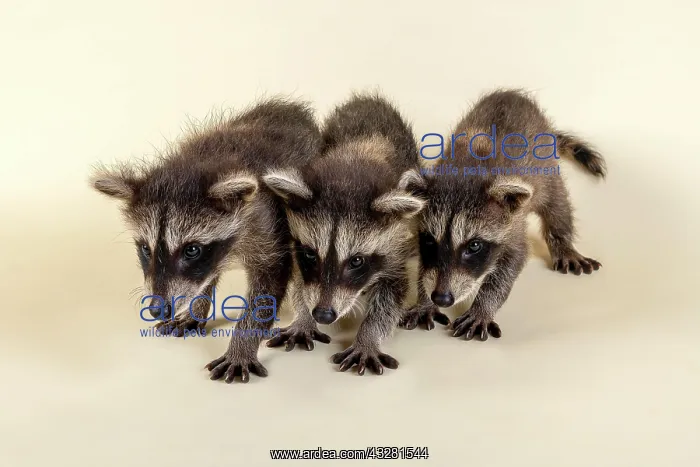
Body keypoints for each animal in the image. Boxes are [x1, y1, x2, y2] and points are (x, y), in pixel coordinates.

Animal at [90, 98, 322, 383]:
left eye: (191, 250)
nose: (157, 309)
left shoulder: (267, 222)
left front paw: (242, 345)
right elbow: (204, 277)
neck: (200, 161)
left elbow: (268, 285)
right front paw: (197, 307)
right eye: (146, 249)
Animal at [262, 93, 425, 375]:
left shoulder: (394, 245)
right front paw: (303, 316)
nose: (323, 315)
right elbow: (302, 281)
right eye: (310, 255)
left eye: (356, 261)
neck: (356, 158)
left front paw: (368, 336)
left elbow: (391, 293)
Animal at [400, 89, 605, 339]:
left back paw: (564, 243)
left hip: (546, 165)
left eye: (474, 246)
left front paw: (483, 307)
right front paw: (424, 300)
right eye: (429, 240)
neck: (464, 176)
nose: (441, 298)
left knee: (557, 204)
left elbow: (512, 262)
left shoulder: (512, 225)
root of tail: (513, 93)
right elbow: (426, 265)